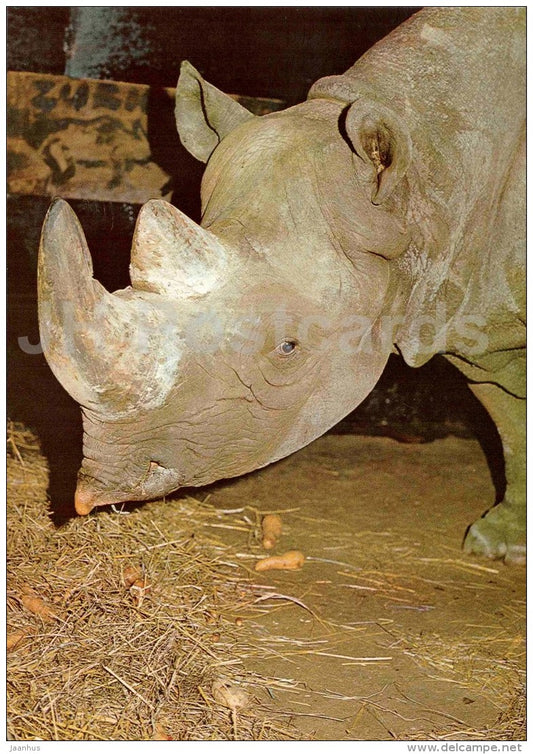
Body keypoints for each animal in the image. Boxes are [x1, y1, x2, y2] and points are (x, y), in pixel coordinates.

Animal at [38, 7, 525, 563]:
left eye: (288, 348)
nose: (97, 488)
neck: (424, 174)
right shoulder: (468, 320)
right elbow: (509, 421)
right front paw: (497, 544)